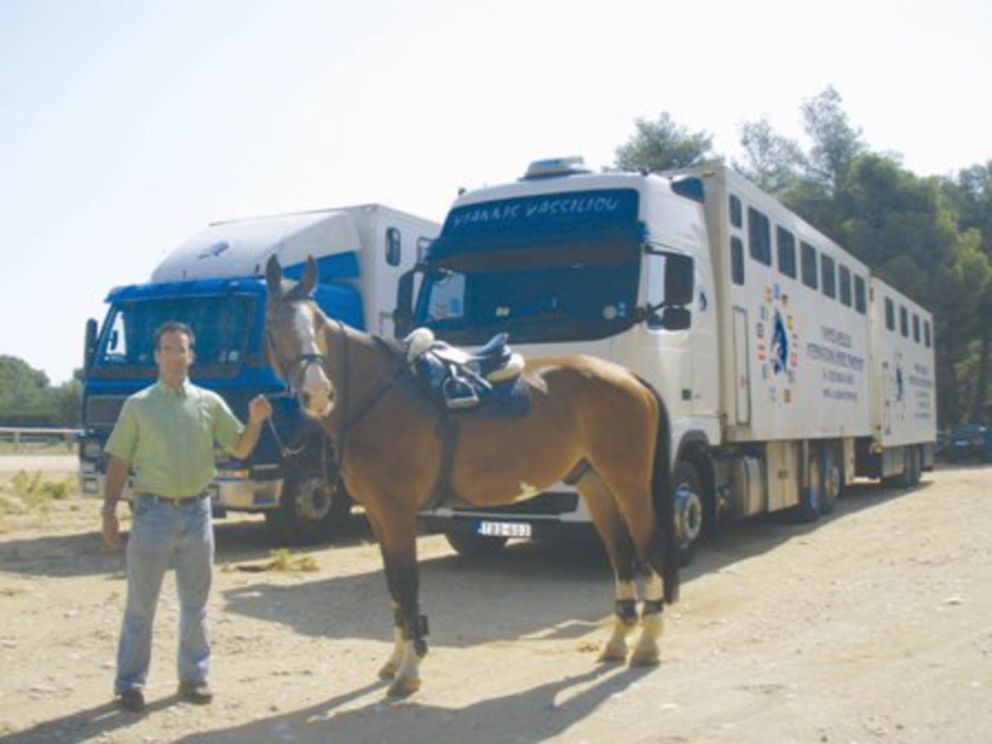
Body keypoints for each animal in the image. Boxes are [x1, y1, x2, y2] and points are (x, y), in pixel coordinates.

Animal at [266, 256, 680, 696]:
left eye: (318, 322)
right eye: (273, 323)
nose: (317, 393)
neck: (379, 396)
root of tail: (629, 377)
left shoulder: (397, 513)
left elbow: (407, 585)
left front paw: (409, 670)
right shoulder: (378, 516)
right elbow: (394, 588)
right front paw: (394, 661)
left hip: (629, 483)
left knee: (649, 547)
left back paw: (647, 646)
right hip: (597, 486)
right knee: (620, 554)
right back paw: (618, 642)